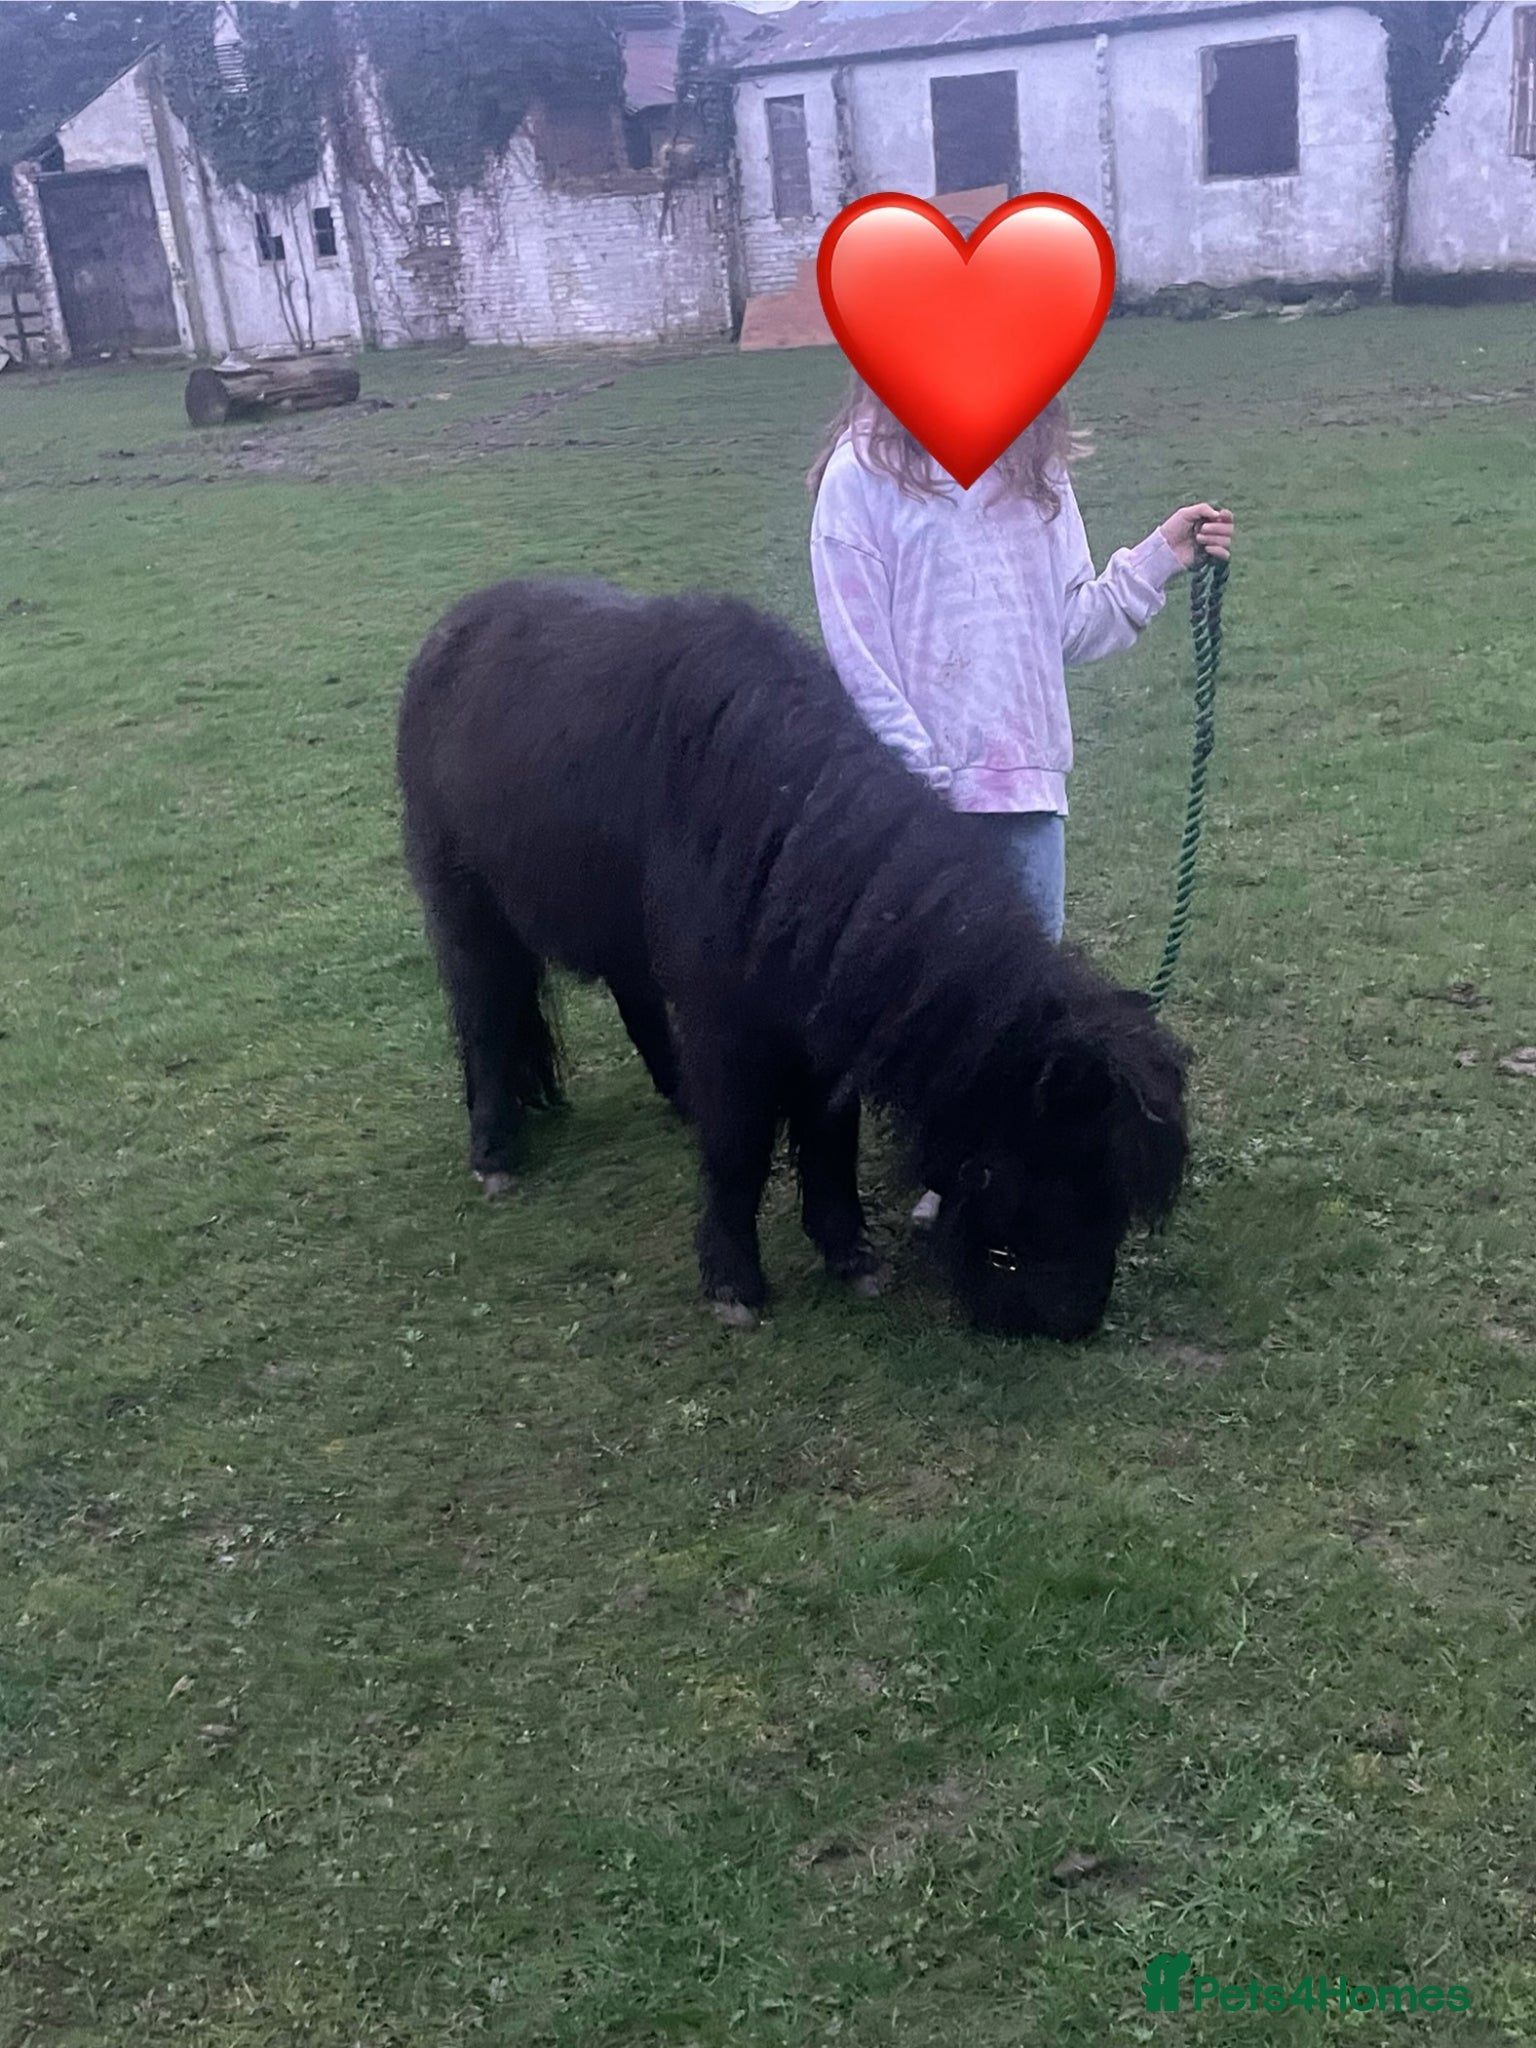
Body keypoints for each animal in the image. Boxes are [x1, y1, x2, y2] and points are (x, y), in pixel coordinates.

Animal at [397, 578, 1190, 1340]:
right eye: (1054, 1163)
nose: (1069, 1321)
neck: (777, 826)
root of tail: (448, 636)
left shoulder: (822, 1031)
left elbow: (829, 1135)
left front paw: (850, 1252)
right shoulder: (726, 1027)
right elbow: (738, 1146)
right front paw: (732, 1283)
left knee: (632, 999)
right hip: (466, 911)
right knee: (486, 1017)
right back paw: (495, 1153)